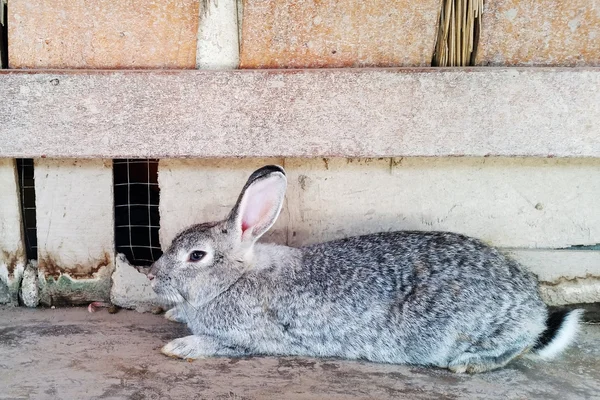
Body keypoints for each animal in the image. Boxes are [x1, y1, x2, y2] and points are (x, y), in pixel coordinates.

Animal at [148, 164, 584, 374]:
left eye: (196, 256)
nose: (151, 275)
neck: (234, 278)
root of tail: (534, 308)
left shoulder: (254, 337)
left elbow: (218, 344)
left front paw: (180, 346)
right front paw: (173, 314)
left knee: (515, 347)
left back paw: (469, 364)